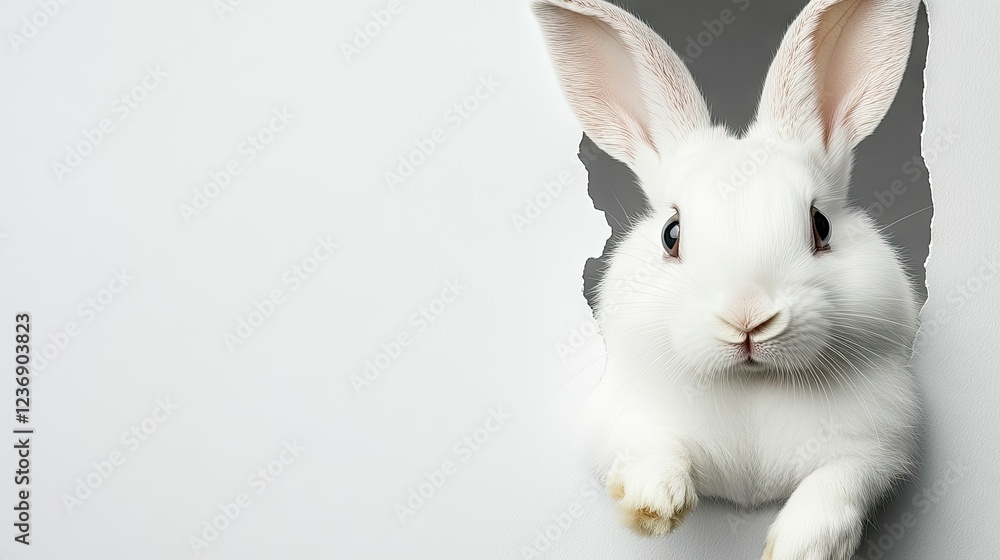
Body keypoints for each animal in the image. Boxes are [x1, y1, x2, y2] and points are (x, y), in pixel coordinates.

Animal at [531, 0, 923, 558]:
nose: (748, 317)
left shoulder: (881, 444)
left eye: (821, 225)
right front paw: (652, 507)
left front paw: (804, 545)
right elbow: (656, 446)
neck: (749, 384)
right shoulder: (621, 423)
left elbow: (841, 480)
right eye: (671, 234)